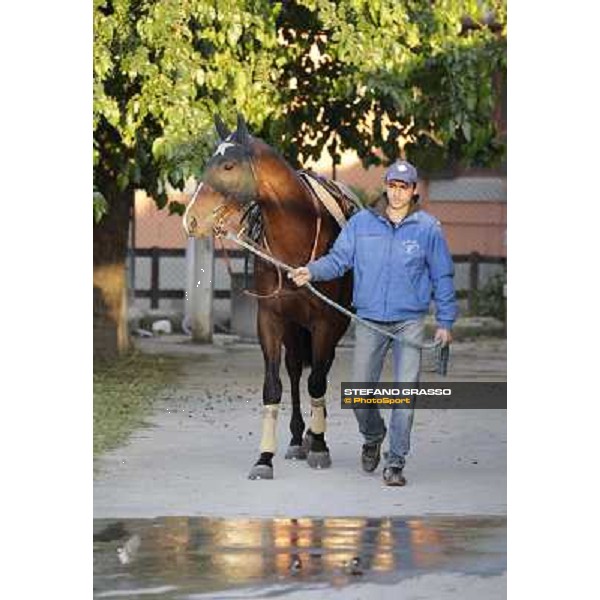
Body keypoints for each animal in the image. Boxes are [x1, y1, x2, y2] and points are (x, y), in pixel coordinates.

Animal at [182, 113, 356, 478]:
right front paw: (265, 457)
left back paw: (314, 435)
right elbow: (273, 386)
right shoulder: (271, 320)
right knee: (295, 370)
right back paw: (297, 438)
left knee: (320, 372)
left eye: (228, 165)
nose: (190, 219)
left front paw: (320, 445)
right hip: (294, 326)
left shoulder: (326, 321)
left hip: (333, 325)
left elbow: (317, 382)